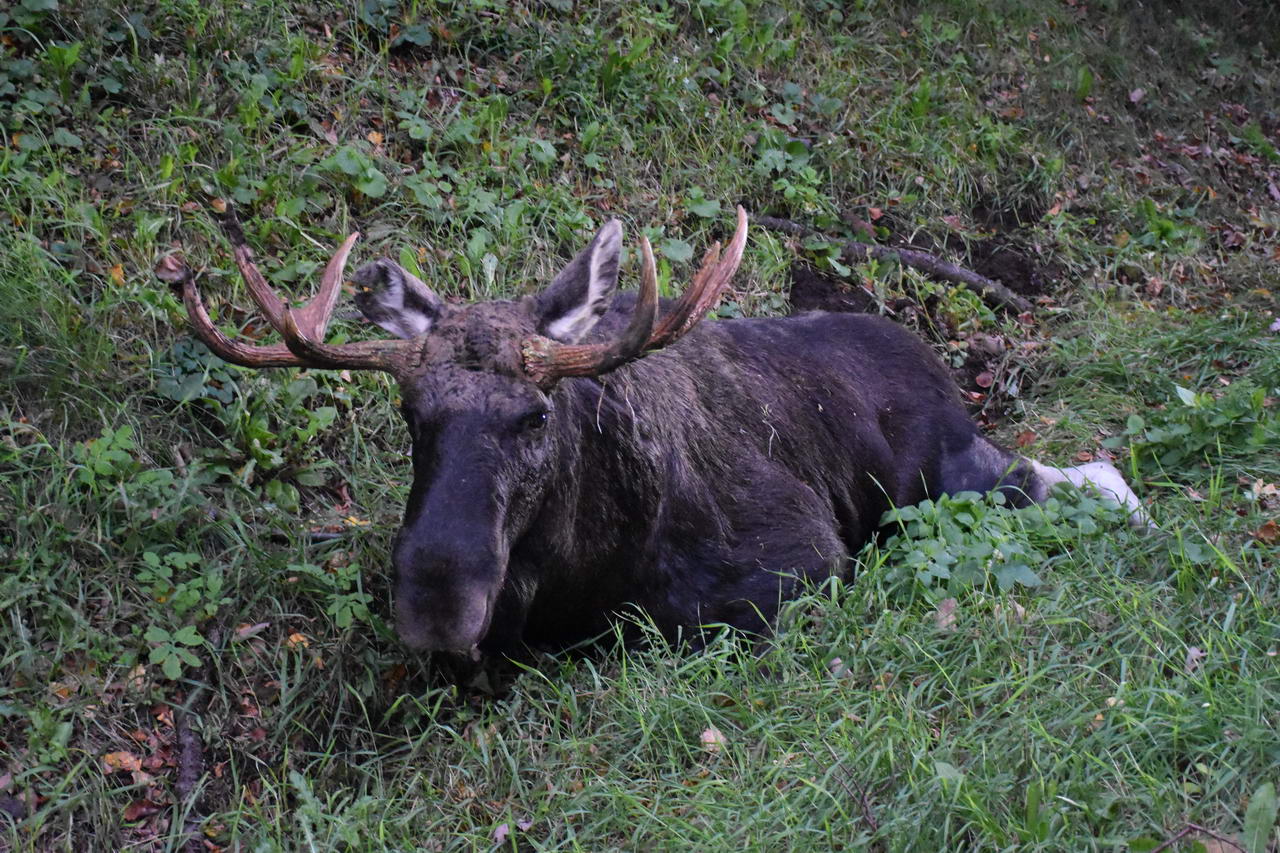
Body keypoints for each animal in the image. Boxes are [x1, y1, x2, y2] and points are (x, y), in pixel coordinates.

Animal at [154, 207, 1146, 655]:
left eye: (536, 413)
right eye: (411, 414)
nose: (438, 607)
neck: (583, 560)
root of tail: (933, 357)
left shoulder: (802, 559)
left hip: (948, 476)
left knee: (1077, 476)